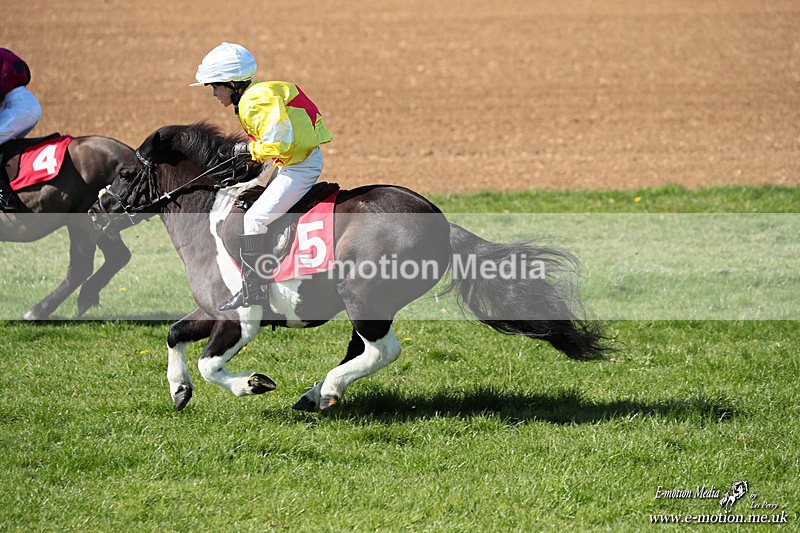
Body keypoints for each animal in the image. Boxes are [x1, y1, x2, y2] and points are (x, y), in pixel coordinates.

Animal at [89, 123, 608, 412]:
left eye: (126, 172)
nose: (96, 209)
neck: (209, 214)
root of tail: (441, 222)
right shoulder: (211, 310)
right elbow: (175, 333)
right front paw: (179, 391)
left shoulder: (240, 317)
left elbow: (211, 363)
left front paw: (252, 383)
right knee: (362, 350)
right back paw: (315, 394)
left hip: (364, 298)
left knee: (381, 351)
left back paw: (323, 392)